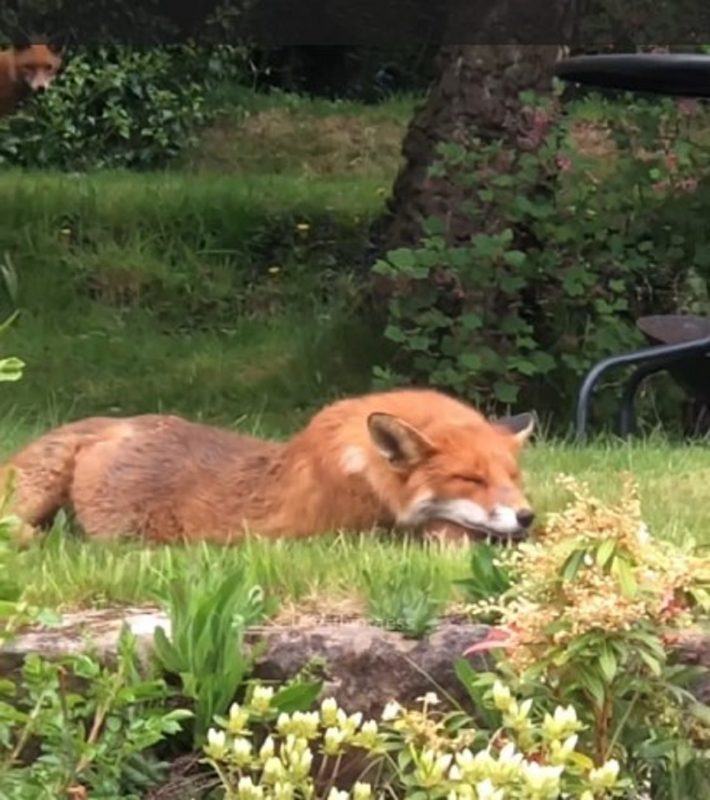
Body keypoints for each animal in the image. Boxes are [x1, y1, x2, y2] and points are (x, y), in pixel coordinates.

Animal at [0, 388, 536, 544]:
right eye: (470, 479)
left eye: (513, 478)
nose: (526, 516)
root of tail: (112, 426)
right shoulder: (351, 536)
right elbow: (452, 531)